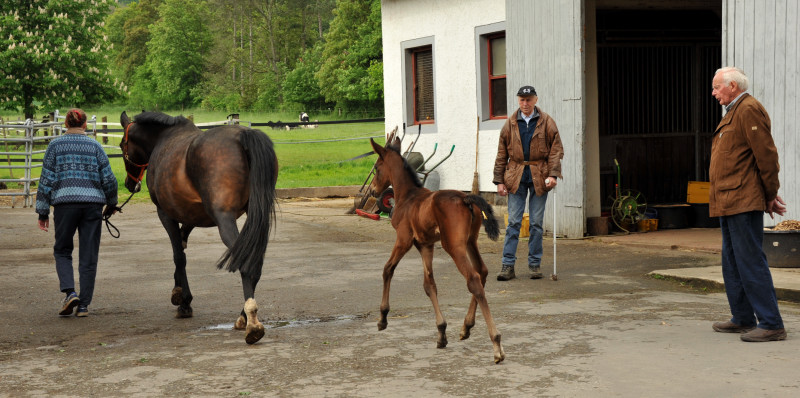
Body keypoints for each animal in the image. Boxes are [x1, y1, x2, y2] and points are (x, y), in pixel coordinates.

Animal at [119, 110, 278, 344]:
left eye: (122, 144)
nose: (129, 184)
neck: (164, 138)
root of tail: (243, 136)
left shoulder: (165, 214)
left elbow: (178, 255)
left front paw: (184, 301)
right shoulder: (191, 215)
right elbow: (182, 245)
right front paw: (177, 291)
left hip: (225, 220)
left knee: (245, 262)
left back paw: (252, 323)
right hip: (256, 220)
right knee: (254, 263)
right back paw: (242, 317)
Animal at [370, 135, 506, 362]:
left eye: (376, 167)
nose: (372, 190)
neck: (408, 196)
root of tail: (466, 198)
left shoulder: (404, 239)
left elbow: (388, 269)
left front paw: (383, 318)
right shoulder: (426, 245)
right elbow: (429, 284)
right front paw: (442, 332)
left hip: (453, 246)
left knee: (473, 279)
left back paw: (496, 344)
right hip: (470, 242)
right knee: (482, 271)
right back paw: (466, 327)